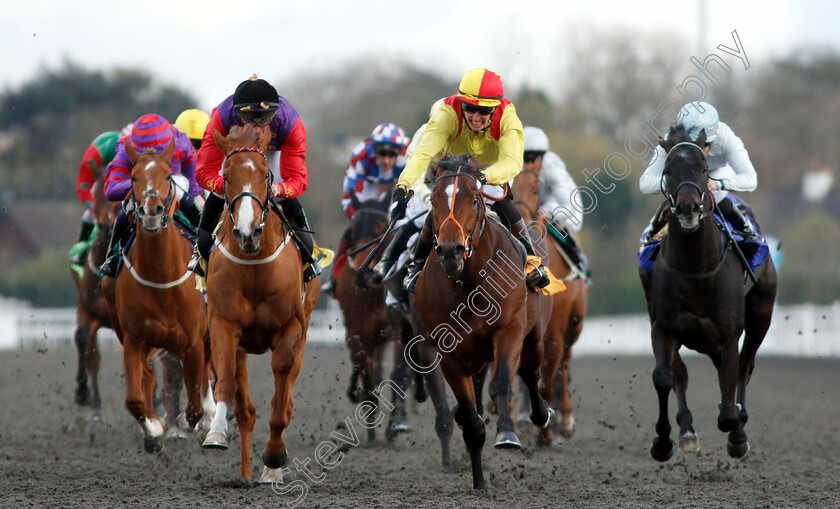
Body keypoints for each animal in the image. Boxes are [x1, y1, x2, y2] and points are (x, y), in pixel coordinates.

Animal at [101, 139, 213, 452]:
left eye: (167, 176)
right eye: (134, 177)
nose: (151, 210)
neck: (162, 279)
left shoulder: (193, 343)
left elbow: (195, 403)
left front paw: (191, 423)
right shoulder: (134, 340)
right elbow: (134, 398)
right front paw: (153, 428)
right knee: (149, 379)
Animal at [202, 124, 320, 484]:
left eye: (266, 175)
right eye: (226, 175)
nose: (247, 232)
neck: (254, 266)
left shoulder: (291, 329)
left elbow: (281, 400)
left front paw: (275, 456)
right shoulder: (223, 325)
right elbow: (226, 382)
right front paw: (215, 433)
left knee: (286, 398)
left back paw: (270, 471)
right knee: (246, 411)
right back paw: (244, 475)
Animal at [416, 155, 556, 488]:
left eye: (474, 200)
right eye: (434, 201)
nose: (451, 250)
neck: (469, 282)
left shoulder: (509, 331)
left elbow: (502, 382)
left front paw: (507, 433)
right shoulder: (450, 354)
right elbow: (470, 418)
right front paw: (479, 481)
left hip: (534, 337)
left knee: (530, 373)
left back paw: (541, 415)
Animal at [508, 168, 588, 444]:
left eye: (535, 188)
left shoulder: (553, 331)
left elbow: (548, 378)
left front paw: (545, 430)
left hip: (574, 325)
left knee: (563, 366)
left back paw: (564, 418)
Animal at [640, 126, 776, 460]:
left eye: (703, 169)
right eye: (667, 169)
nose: (688, 207)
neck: (696, 270)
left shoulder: (728, 335)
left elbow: (727, 408)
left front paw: (737, 435)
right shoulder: (663, 327)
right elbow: (664, 376)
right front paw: (663, 441)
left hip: (761, 314)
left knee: (744, 366)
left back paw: (740, 419)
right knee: (680, 372)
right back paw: (687, 430)